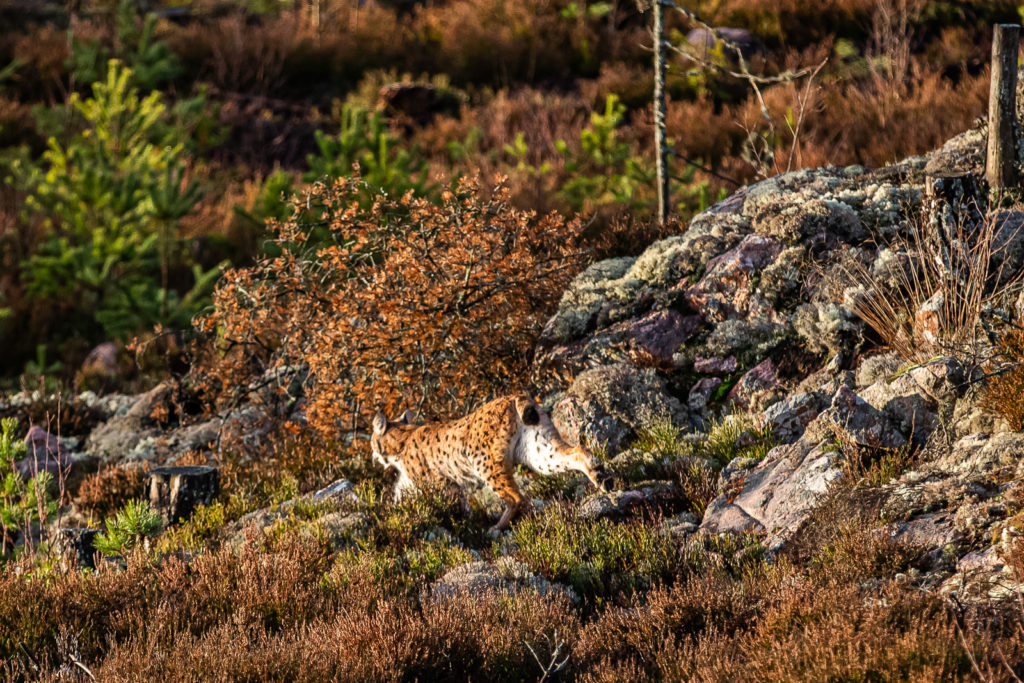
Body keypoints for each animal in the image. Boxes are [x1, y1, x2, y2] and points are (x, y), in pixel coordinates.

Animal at [370, 393, 606, 532]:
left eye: (372, 441)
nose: (373, 455)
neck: (403, 439)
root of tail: (515, 395)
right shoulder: (408, 482)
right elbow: (398, 496)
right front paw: (394, 518)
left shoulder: (440, 482)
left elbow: (456, 504)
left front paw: (465, 524)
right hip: (539, 450)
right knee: (577, 450)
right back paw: (600, 475)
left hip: (485, 461)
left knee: (516, 497)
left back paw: (498, 527)